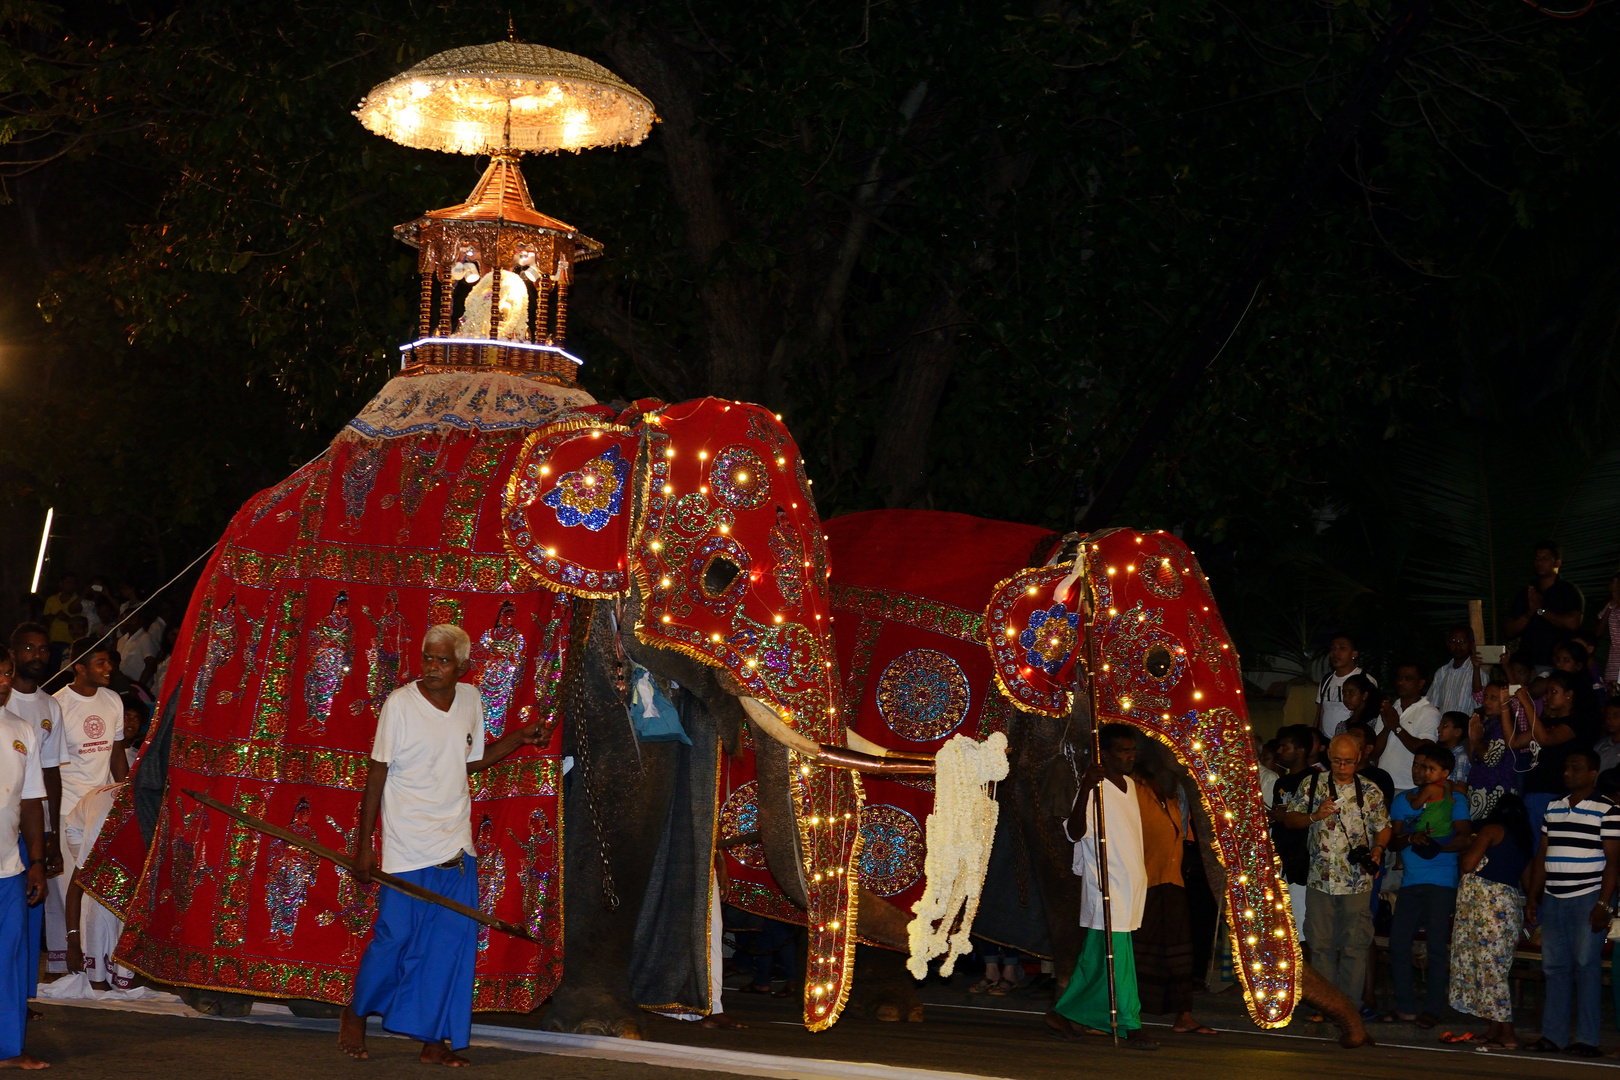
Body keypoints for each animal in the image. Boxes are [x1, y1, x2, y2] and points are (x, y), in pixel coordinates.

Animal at [722, 514, 1367, 1049]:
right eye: (1159, 664)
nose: (1352, 1036)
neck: (1064, 555)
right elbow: (1050, 836)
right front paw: (1080, 1020)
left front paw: (1082, 1016)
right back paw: (884, 1007)